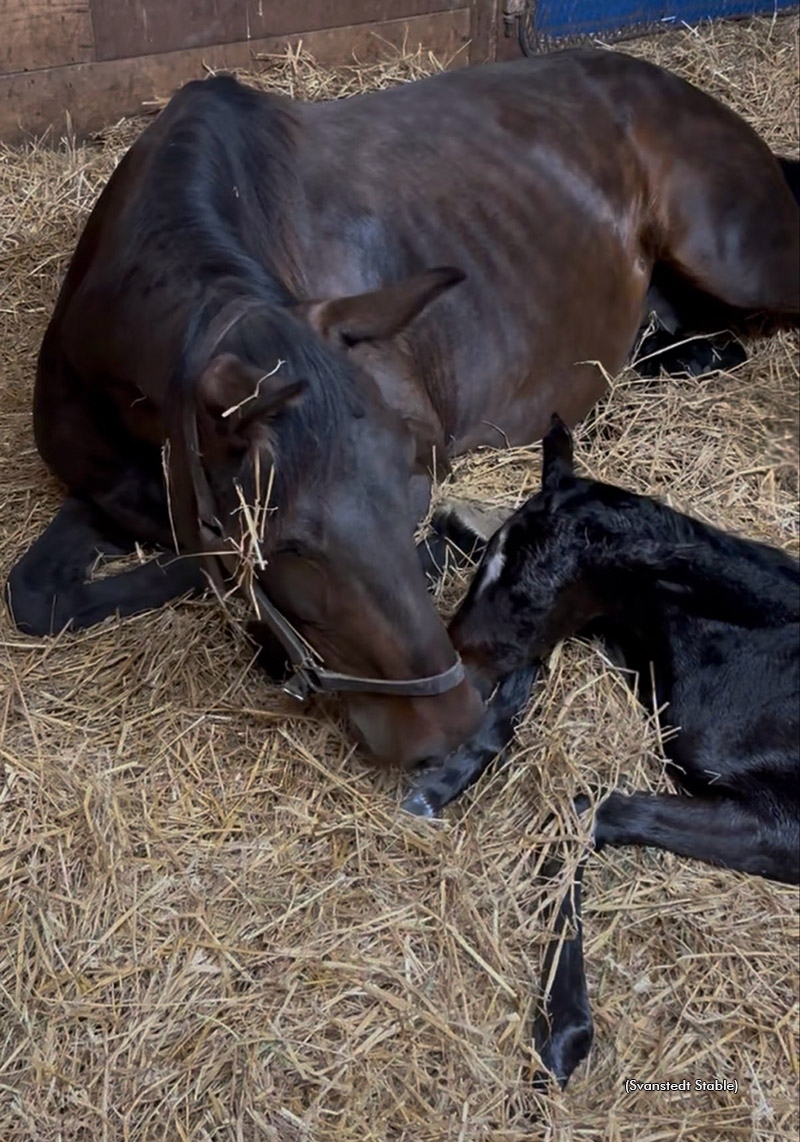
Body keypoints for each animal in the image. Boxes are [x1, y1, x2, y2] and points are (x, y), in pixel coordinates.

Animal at [6, 49, 799, 769]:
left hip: (735, 257)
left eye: (413, 490)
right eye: (287, 545)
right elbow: (38, 594)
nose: (449, 729)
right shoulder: (109, 491)